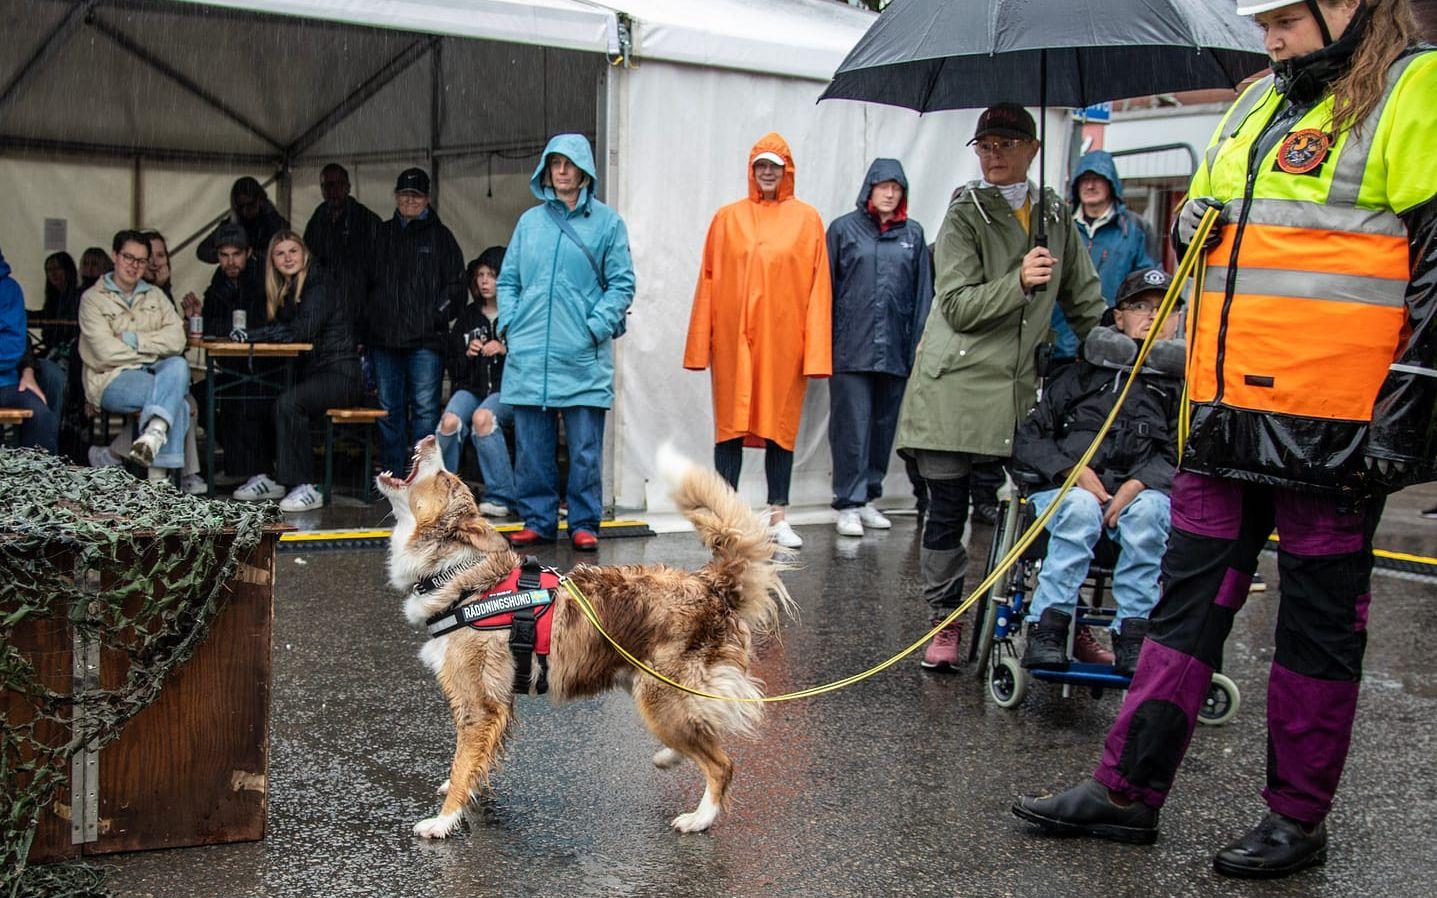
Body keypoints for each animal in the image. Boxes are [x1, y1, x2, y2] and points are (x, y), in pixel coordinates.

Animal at [376, 436, 793, 839]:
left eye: (446, 479)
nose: (432, 437)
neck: (462, 579)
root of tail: (711, 584)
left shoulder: (479, 705)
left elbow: (462, 764)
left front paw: (445, 819)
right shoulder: (497, 705)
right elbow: (477, 761)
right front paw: (468, 791)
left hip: (658, 697)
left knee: (722, 762)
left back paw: (700, 818)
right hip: (646, 683)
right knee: (703, 726)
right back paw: (671, 755)